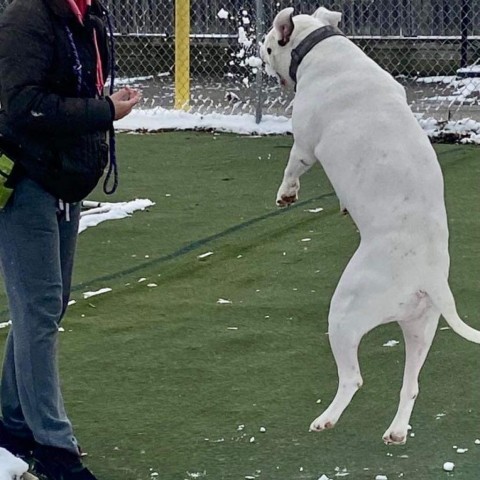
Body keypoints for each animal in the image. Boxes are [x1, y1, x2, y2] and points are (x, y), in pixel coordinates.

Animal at [262, 5, 480, 444]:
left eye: (267, 43)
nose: (258, 53)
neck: (321, 44)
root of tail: (427, 275)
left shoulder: (305, 144)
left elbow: (293, 166)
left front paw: (286, 195)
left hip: (344, 315)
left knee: (353, 379)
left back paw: (326, 418)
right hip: (421, 328)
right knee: (411, 383)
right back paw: (395, 430)